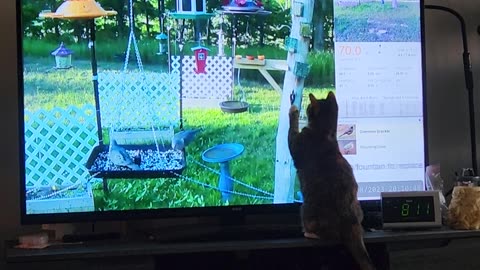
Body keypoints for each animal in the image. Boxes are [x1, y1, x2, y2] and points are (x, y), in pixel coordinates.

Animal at [288, 91, 376, 270]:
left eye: (309, 106)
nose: (306, 106)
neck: (326, 132)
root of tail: (350, 222)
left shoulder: (295, 143)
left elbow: (292, 127)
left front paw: (293, 109)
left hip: (304, 209)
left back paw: (309, 233)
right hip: (359, 208)